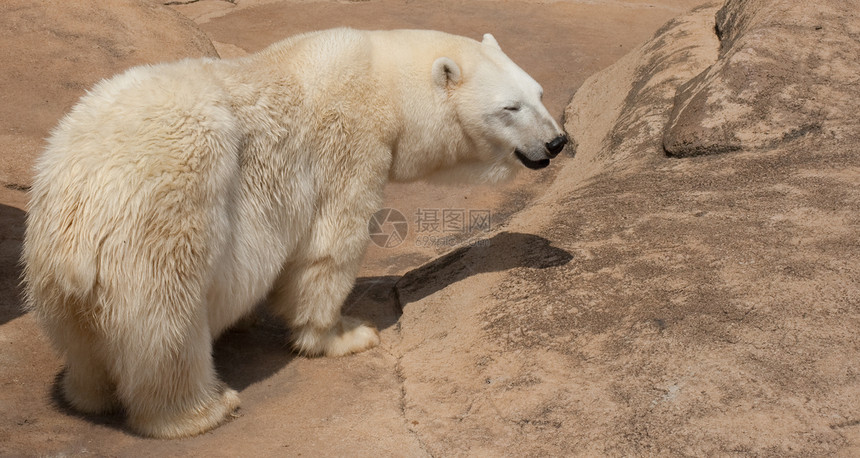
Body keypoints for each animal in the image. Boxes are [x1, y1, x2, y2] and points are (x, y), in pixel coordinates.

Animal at [21, 27, 564, 436]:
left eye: (539, 93)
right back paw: (204, 408)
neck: (380, 79)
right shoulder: (348, 148)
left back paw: (87, 394)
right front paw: (345, 334)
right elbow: (328, 246)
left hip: (51, 268)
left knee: (83, 342)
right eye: (510, 108)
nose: (557, 141)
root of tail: (77, 211)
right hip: (166, 221)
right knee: (163, 324)